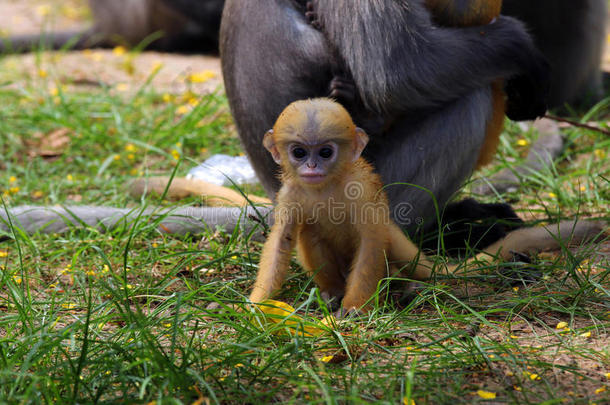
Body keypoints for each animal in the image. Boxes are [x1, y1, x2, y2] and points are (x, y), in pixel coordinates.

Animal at [249, 98, 600, 312]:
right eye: (298, 152)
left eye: (325, 152)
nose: (311, 167)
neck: (325, 187)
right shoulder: (290, 194)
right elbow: (282, 240)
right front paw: (256, 305)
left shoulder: (360, 191)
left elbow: (370, 241)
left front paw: (355, 308)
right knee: (308, 232)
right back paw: (332, 293)